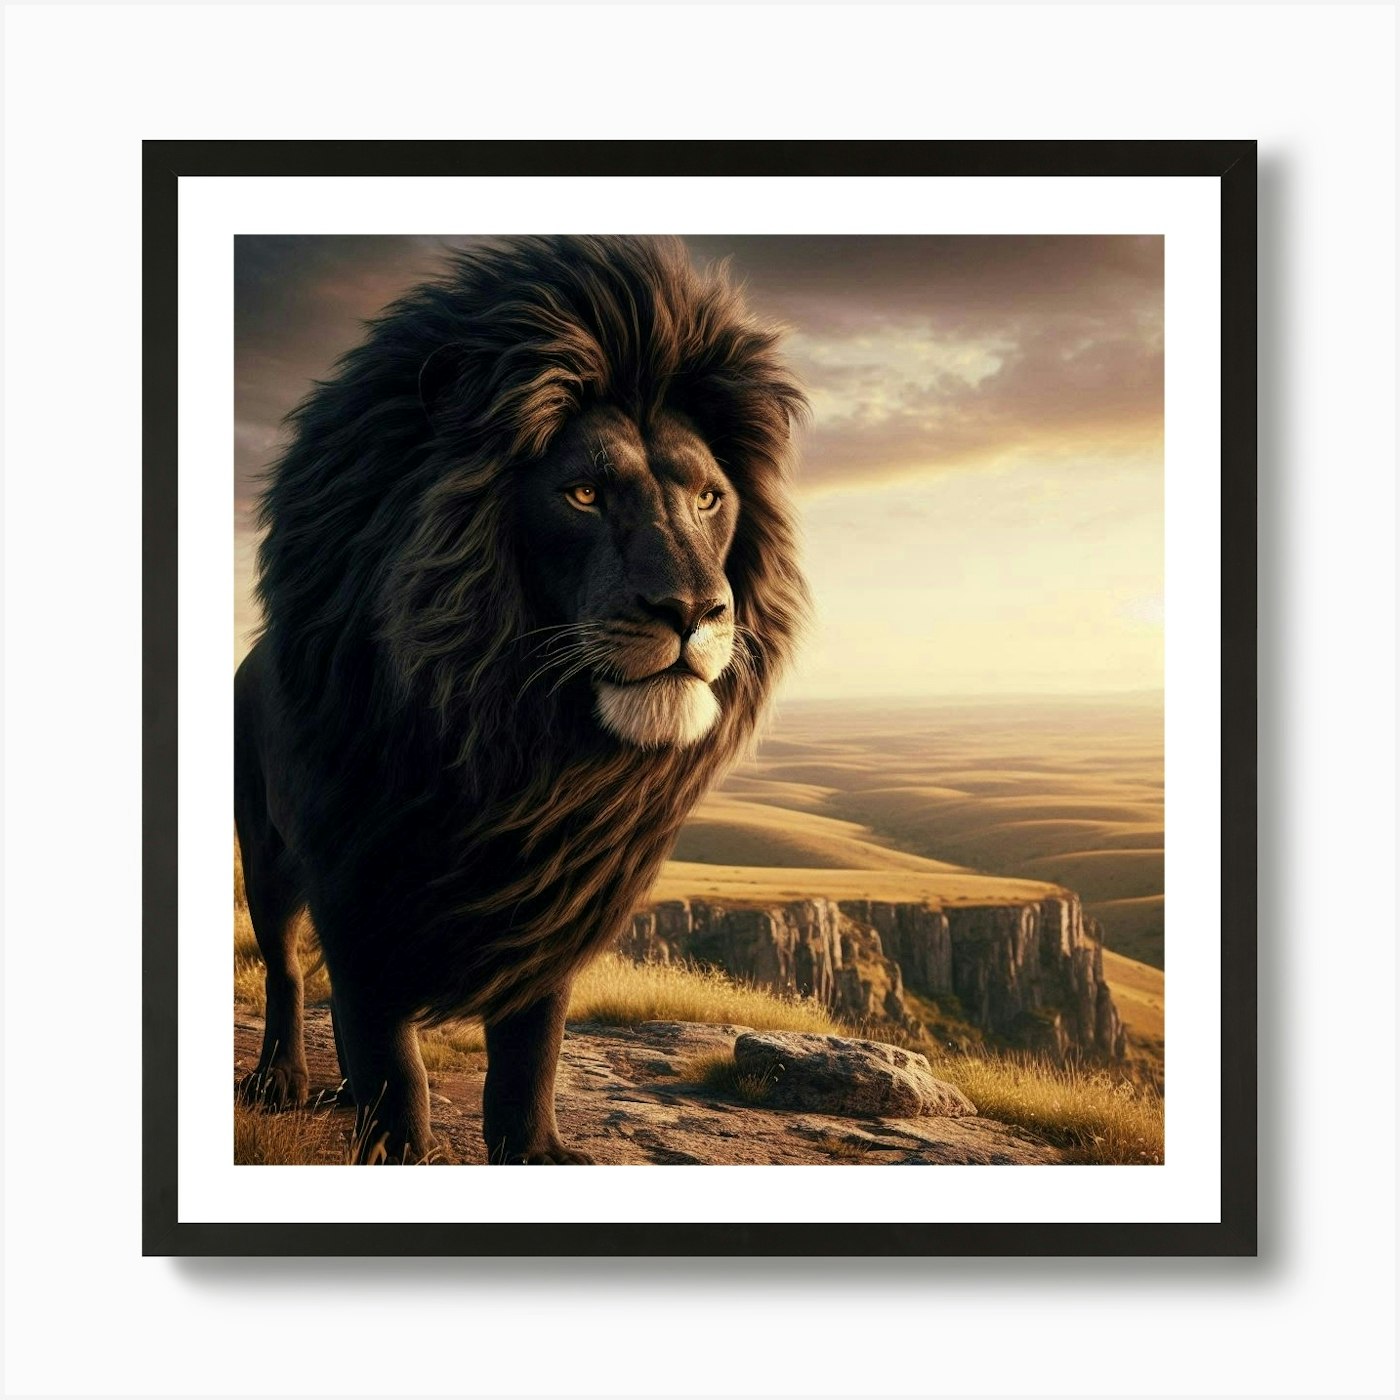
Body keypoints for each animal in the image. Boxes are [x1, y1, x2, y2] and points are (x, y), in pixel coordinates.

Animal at [236, 235, 808, 1163]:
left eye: (708, 498)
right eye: (583, 494)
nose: (694, 611)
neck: (516, 742)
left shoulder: (552, 890)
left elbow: (531, 1046)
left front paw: (535, 1149)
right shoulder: (357, 888)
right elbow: (389, 1057)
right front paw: (395, 1149)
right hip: (268, 851)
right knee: (284, 969)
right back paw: (280, 1080)